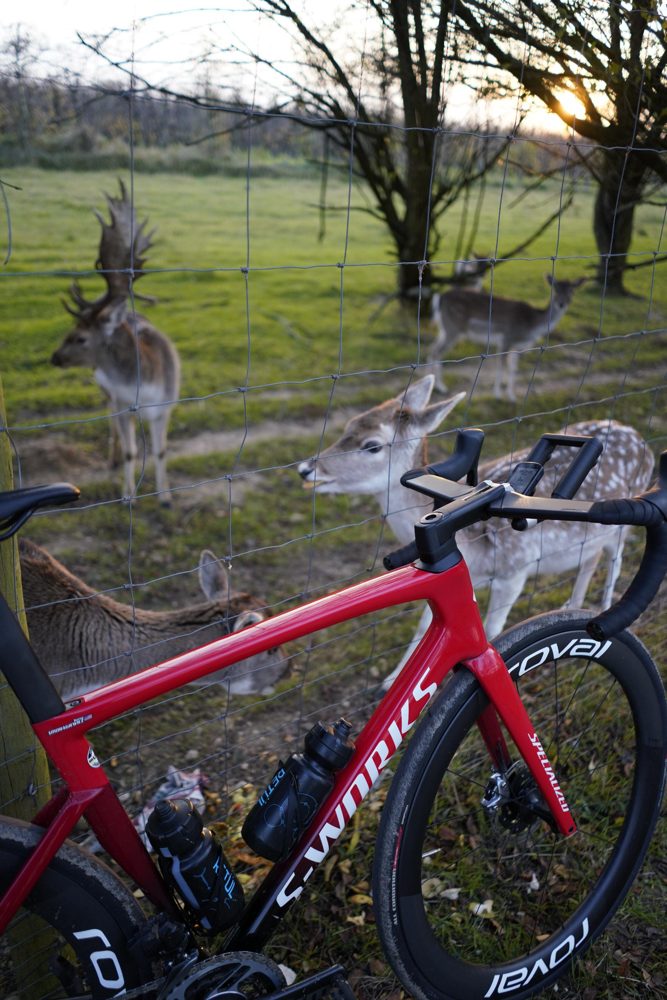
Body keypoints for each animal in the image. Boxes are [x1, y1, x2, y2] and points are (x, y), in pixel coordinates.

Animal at [51, 180, 180, 504]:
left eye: (80, 337)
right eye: (71, 328)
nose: (54, 357)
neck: (146, 391)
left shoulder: (168, 405)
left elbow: (161, 450)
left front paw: (165, 496)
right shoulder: (122, 403)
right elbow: (132, 452)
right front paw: (128, 495)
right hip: (109, 396)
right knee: (111, 423)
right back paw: (112, 457)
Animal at [297, 375, 655, 687]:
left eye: (372, 446)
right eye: (350, 424)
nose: (306, 468)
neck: (475, 551)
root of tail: (641, 438)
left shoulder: (516, 569)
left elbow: (493, 628)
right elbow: (425, 624)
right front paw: (391, 681)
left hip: (620, 525)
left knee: (615, 561)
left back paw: (604, 611)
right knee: (591, 558)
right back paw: (573, 604)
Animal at [429, 274, 586, 401]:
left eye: (572, 291)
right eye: (556, 289)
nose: (561, 304)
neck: (531, 325)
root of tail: (439, 298)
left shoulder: (517, 346)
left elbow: (513, 369)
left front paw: (512, 397)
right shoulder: (507, 338)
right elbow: (501, 366)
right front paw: (497, 395)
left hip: (444, 328)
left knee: (432, 349)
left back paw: (431, 384)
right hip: (453, 328)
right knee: (436, 352)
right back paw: (441, 387)